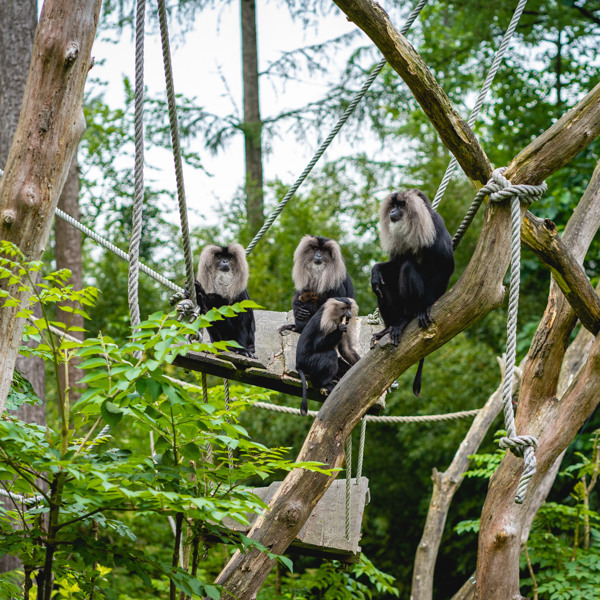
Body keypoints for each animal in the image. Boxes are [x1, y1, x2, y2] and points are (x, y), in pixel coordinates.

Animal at [370, 190, 454, 396]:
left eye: (401, 205)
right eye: (393, 206)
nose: (393, 211)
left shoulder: (435, 225)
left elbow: (445, 266)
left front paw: (426, 307)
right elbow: (394, 264)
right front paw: (375, 270)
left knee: (408, 267)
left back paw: (406, 318)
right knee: (382, 284)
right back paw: (388, 328)